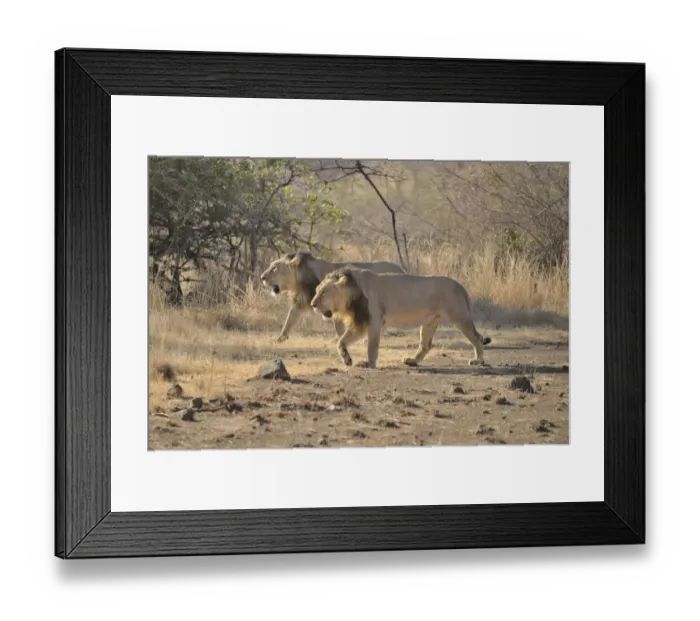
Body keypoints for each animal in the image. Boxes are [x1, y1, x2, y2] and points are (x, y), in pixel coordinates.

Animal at [260, 252, 405, 342]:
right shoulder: (300, 301)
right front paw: (280, 338)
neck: (298, 281)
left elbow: (338, 327)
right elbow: (289, 320)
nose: (262, 277)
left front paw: (340, 339)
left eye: (274, 268)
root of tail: (402, 270)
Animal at [309, 267, 492, 369]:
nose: (312, 304)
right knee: (426, 345)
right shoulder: (360, 323)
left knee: (477, 337)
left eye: (323, 292)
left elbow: (372, 346)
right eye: (316, 290)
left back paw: (478, 361)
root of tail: (460, 285)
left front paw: (369, 363)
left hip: (459, 316)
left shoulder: (373, 320)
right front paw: (347, 359)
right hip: (430, 320)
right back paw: (412, 361)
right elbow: (341, 341)